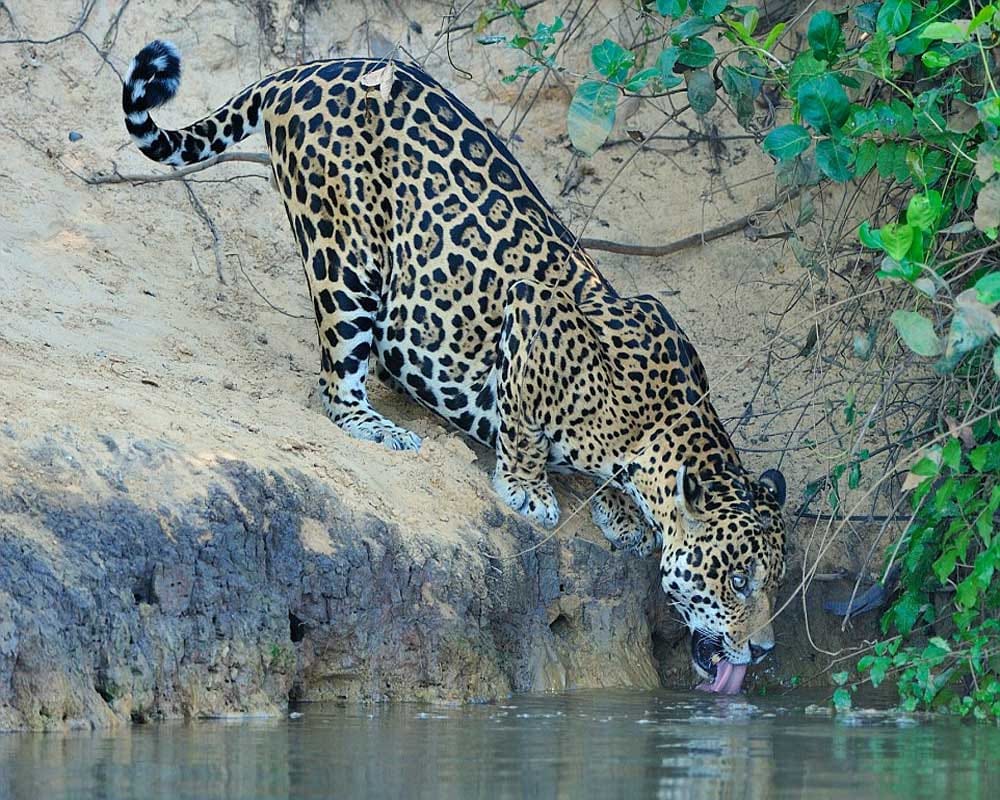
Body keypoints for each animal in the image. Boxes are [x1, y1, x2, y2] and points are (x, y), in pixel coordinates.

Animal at [120, 40, 788, 692]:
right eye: (738, 581)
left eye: (776, 581)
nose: (763, 650)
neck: (656, 427)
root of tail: (307, 69)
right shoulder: (532, 311)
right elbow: (523, 424)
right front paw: (528, 491)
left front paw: (619, 512)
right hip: (344, 256)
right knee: (336, 385)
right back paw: (381, 427)